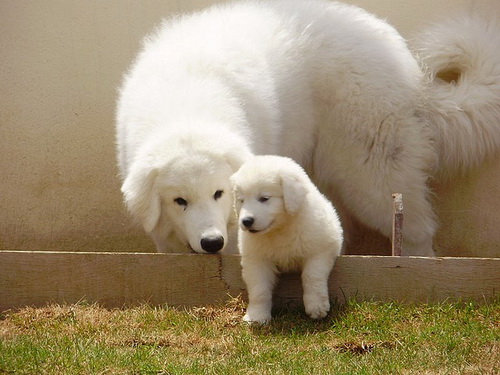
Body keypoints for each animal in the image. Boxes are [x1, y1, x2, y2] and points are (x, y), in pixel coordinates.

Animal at [117, 0, 500, 256]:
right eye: (179, 200)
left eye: (219, 193)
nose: (212, 243)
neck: (186, 107)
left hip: (370, 174)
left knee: (415, 228)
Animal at [231, 156, 344, 324]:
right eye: (241, 200)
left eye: (264, 198)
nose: (246, 221)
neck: (280, 229)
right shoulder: (256, 260)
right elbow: (259, 289)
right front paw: (257, 316)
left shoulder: (321, 249)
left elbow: (312, 276)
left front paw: (316, 307)